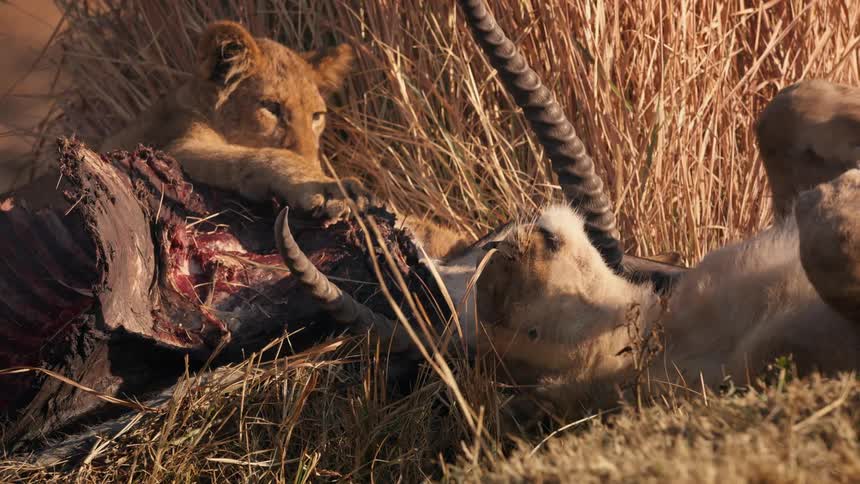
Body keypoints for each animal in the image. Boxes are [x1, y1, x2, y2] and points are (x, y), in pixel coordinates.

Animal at [101, 20, 369, 220]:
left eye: (316, 116)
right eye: (271, 107)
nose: (311, 161)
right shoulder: (175, 147)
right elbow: (259, 155)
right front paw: (329, 187)